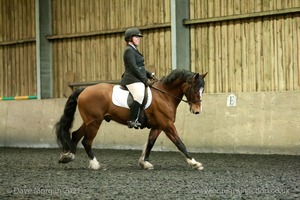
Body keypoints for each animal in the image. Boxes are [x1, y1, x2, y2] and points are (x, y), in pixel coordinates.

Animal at [55, 69, 207, 170]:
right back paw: (95, 164)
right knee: (86, 141)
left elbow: (150, 143)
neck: (164, 95)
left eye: (203, 90)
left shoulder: (158, 126)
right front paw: (194, 163)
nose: (197, 111)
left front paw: (144, 162)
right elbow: (179, 143)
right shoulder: (167, 125)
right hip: (94, 122)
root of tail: (84, 90)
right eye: (195, 90)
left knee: (76, 134)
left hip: (89, 121)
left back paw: (68, 157)